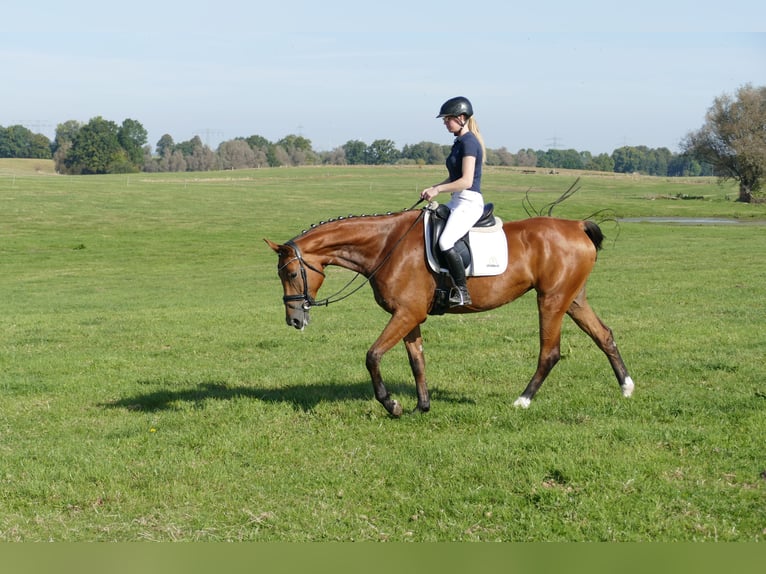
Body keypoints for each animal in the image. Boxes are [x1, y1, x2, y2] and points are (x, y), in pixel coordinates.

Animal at [266, 207, 636, 418]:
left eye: (292, 273)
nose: (294, 319)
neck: (386, 245)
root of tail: (576, 226)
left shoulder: (406, 314)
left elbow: (372, 356)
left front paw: (392, 405)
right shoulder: (410, 316)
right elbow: (417, 360)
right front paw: (422, 406)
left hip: (551, 300)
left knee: (550, 352)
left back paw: (523, 401)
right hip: (572, 299)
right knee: (604, 335)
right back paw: (627, 388)